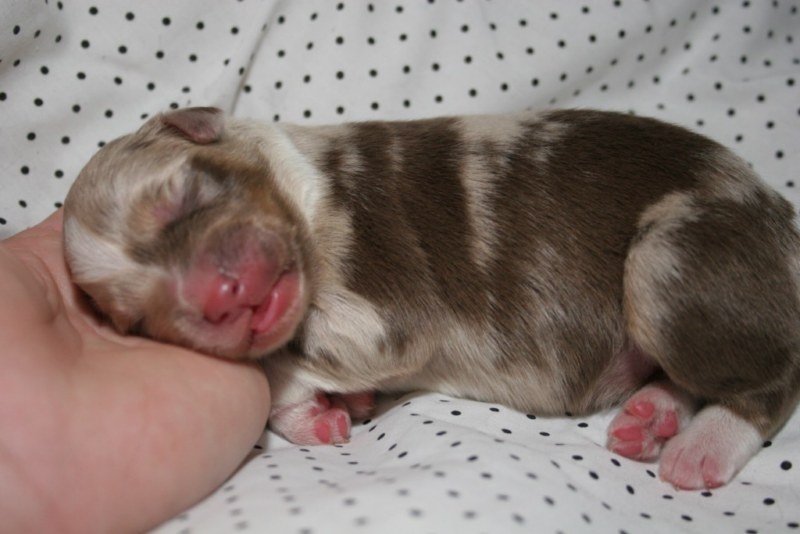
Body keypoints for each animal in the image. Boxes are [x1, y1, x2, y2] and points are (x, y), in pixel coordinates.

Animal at [63, 106, 800, 489]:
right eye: (136, 317)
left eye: (185, 196)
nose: (219, 298)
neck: (307, 188)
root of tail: (783, 222)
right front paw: (324, 414)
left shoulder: (388, 308)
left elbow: (278, 364)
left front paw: (309, 404)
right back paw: (653, 414)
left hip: (669, 259)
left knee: (772, 377)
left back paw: (702, 448)